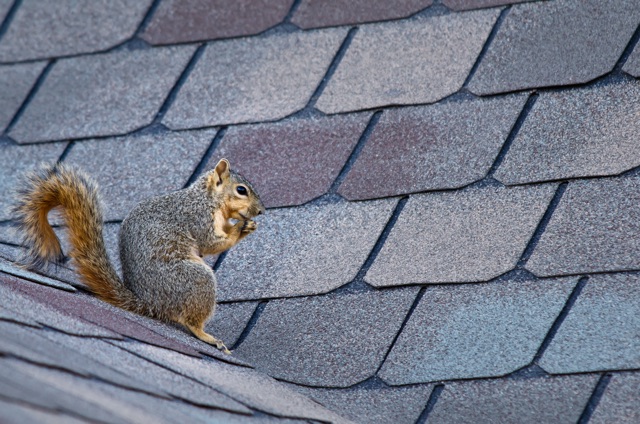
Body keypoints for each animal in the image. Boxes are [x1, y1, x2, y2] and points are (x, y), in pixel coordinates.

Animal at [13, 157, 262, 352]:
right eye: (241, 190)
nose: (260, 211)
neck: (207, 198)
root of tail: (150, 304)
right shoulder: (197, 218)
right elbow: (211, 243)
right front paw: (240, 229)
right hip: (195, 279)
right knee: (191, 321)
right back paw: (206, 335)